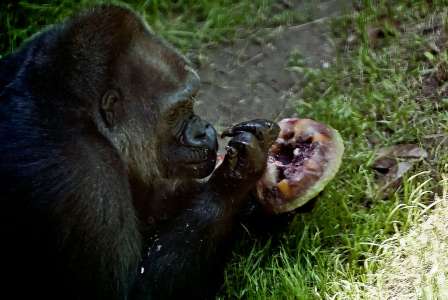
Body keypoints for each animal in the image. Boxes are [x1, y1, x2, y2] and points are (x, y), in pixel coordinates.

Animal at [0, 4, 280, 300]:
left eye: (192, 100)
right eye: (176, 112)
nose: (205, 131)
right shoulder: (86, 175)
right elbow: (130, 291)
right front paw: (237, 176)